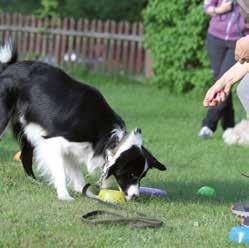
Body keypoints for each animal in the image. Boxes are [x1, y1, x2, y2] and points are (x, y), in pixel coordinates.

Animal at [0, 40, 167, 200]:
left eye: (142, 176)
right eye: (131, 174)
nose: (134, 197)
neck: (111, 140)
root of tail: (9, 66)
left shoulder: (71, 150)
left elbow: (77, 174)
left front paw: (87, 193)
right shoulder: (53, 142)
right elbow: (60, 172)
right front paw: (64, 195)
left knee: (25, 155)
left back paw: (33, 181)